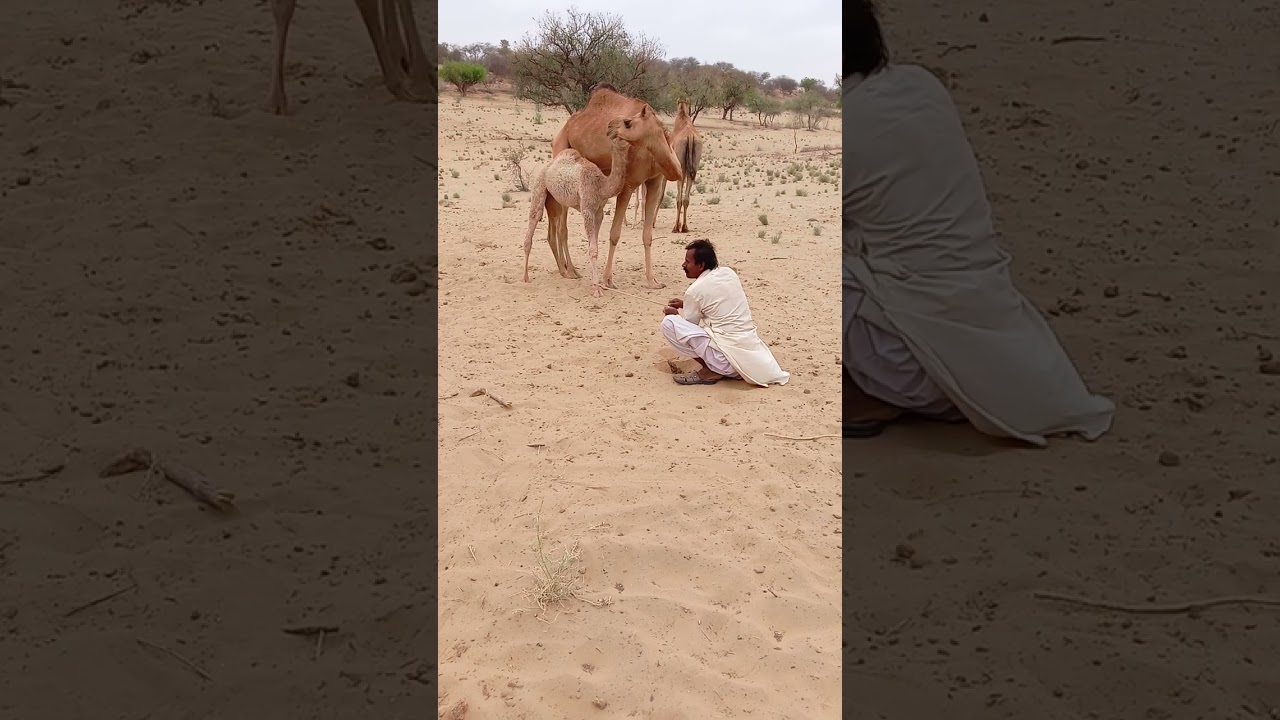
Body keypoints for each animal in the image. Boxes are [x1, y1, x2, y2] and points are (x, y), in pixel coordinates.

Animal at [522, 119, 642, 298]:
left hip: (555, 201)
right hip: (539, 186)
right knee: (534, 220)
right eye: (624, 130)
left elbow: (595, 246)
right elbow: (593, 249)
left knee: (552, 231)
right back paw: (526, 277)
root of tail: (549, 164)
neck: (601, 185)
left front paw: (599, 284)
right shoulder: (587, 209)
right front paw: (596, 289)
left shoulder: (599, 211)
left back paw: (564, 272)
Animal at [550, 85, 683, 290]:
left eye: (628, 122)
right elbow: (615, 233)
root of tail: (565, 128)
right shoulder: (628, 184)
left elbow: (647, 235)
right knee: (562, 226)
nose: (610, 126)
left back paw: (567, 267)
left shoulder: (655, 181)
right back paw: (570, 271)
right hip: (562, 155)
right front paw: (607, 279)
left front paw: (652, 281)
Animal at [668, 100, 704, 233]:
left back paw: (675, 227)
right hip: (695, 164)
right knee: (686, 198)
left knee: (679, 198)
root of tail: (690, 137)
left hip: (682, 168)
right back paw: (685, 227)